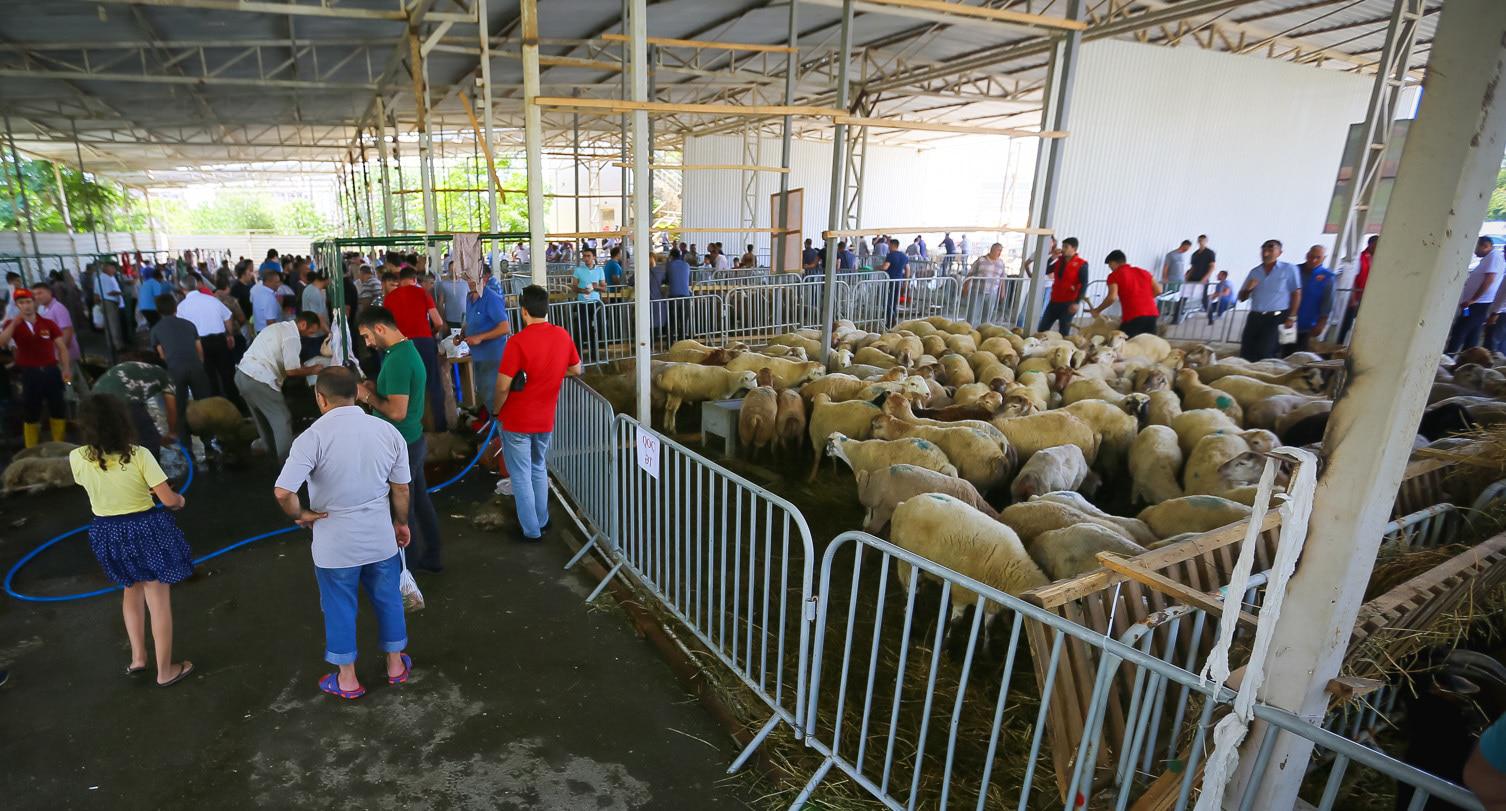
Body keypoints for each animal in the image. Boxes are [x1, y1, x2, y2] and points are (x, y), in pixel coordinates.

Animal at [889, 494, 1049, 626]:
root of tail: (903, 505)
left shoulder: (990, 601)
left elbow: (988, 626)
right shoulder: (962, 592)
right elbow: (956, 622)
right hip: (906, 561)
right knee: (908, 587)